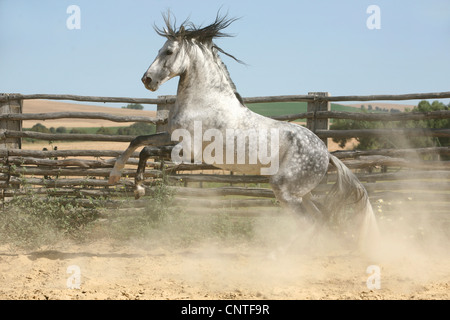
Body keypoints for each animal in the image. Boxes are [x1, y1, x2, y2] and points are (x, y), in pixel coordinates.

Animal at [110, 13, 380, 250]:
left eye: (168, 51)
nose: (147, 80)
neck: (204, 102)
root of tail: (326, 153)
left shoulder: (187, 151)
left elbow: (146, 150)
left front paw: (138, 189)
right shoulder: (171, 137)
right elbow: (138, 140)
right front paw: (115, 176)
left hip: (285, 190)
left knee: (309, 222)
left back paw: (279, 255)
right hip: (300, 193)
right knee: (319, 218)